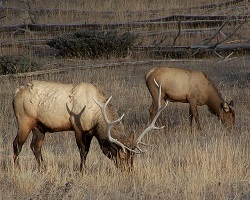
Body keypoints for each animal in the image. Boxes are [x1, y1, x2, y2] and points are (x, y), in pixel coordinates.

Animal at [13, 79, 166, 172]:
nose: (129, 171)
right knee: (17, 144)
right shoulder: (78, 128)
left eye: (132, 156)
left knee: (35, 146)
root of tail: (15, 93)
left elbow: (87, 151)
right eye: (122, 156)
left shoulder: (91, 132)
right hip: (24, 120)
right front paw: (82, 171)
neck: (96, 116)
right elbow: (83, 151)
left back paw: (43, 169)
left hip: (39, 126)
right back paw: (17, 169)